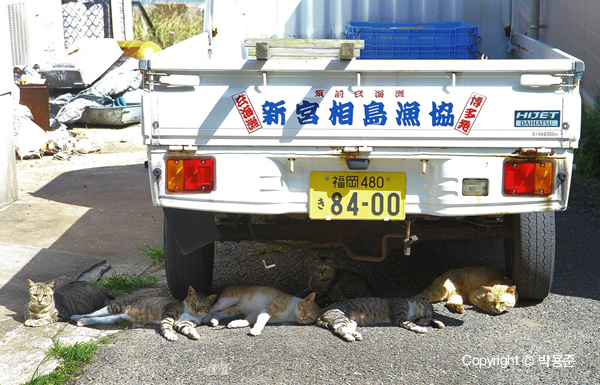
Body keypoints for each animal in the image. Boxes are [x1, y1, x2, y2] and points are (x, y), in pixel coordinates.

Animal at [71, 284, 216, 340]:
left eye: (203, 306)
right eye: (193, 303)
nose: (196, 310)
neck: (189, 313)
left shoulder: (185, 323)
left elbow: (187, 328)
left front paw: (193, 334)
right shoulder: (168, 315)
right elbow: (167, 327)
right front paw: (170, 335)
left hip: (116, 318)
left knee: (99, 318)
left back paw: (83, 321)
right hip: (115, 307)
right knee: (94, 313)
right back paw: (77, 316)